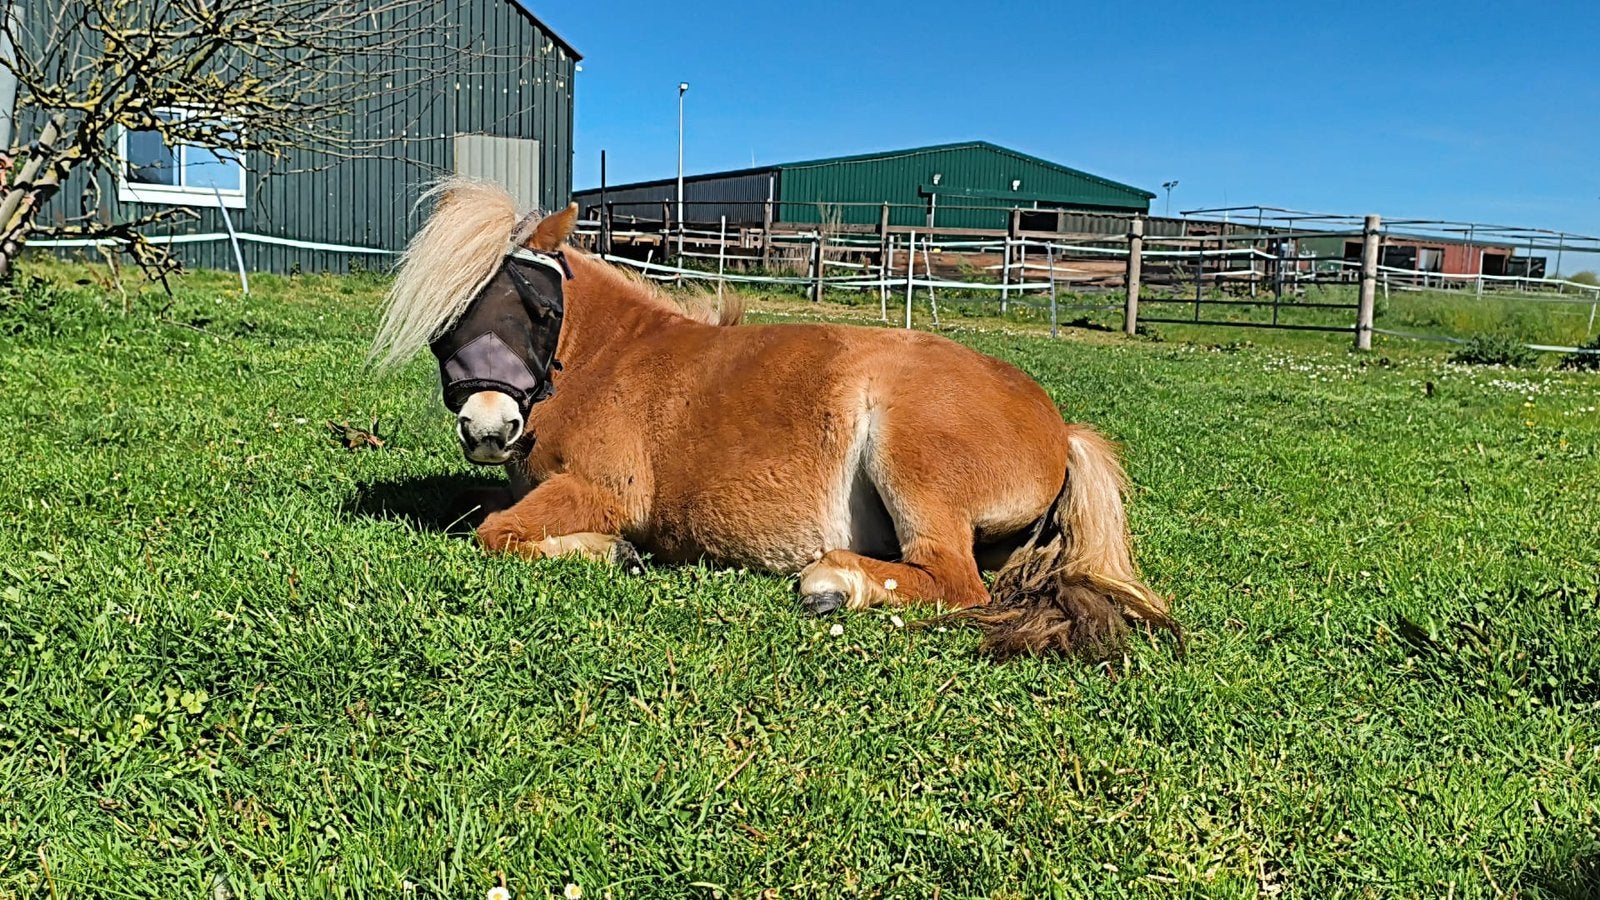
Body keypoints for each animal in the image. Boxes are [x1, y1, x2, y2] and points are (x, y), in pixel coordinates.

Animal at [368, 178, 1181, 661]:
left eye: (536, 311)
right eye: (447, 322)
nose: (488, 430)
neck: (603, 357)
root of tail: (1061, 432)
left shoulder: (598, 492)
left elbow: (494, 533)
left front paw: (611, 551)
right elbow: (475, 507)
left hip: (911, 461)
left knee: (954, 582)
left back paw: (834, 581)